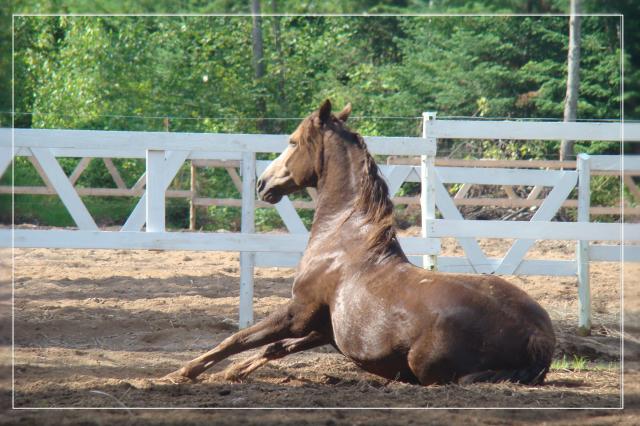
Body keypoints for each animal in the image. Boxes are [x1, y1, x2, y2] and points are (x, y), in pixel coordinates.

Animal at [166, 100, 556, 386]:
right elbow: (275, 348)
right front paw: (231, 373)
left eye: (292, 141)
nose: (263, 184)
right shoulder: (324, 328)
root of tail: (537, 334)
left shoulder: (298, 314)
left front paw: (180, 372)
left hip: (430, 367)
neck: (341, 238)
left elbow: (239, 338)